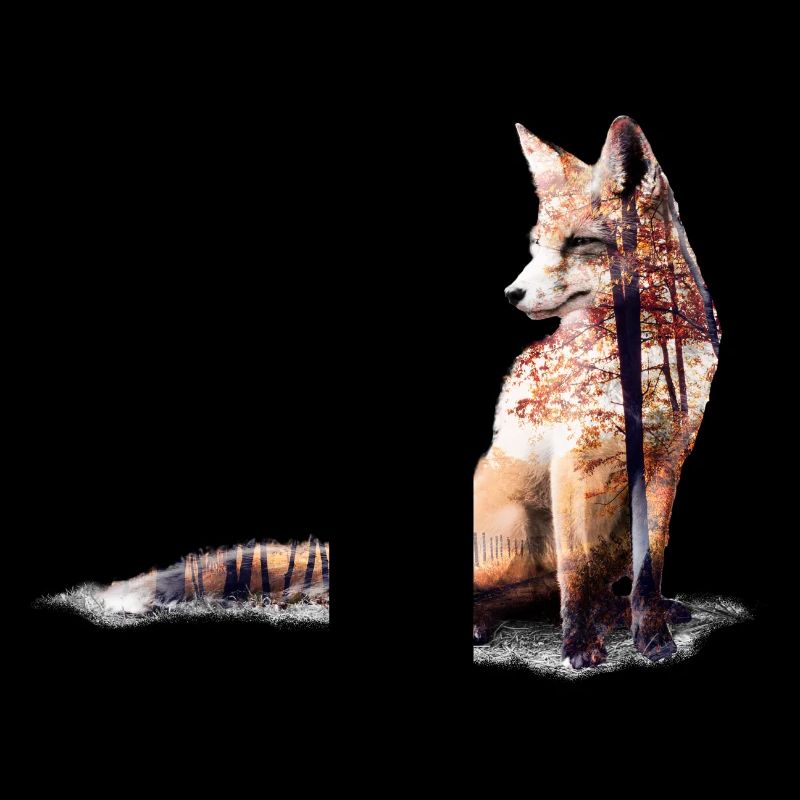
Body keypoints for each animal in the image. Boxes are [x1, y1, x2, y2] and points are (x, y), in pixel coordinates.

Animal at [473, 116, 720, 668]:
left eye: (580, 241)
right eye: (535, 247)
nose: (511, 294)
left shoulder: (667, 463)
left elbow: (650, 568)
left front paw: (650, 635)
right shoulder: (572, 462)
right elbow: (574, 570)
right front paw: (580, 643)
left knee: (578, 586)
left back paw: (620, 612)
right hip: (516, 527)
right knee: (514, 588)